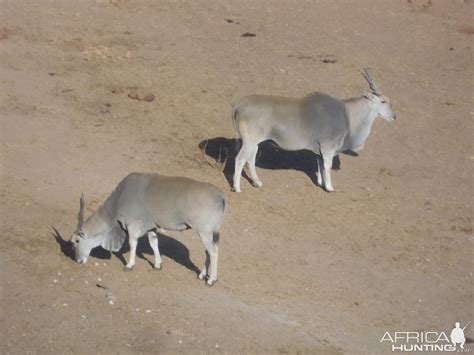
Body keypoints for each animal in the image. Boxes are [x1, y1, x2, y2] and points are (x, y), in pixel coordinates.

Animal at [69, 172, 227, 286]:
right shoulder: (152, 227)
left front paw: (129, 265)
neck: (120, 198)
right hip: (208, 233)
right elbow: (153, 243)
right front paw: (157, 265)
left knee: (213, 252)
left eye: (76, 241)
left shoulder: (132, 226)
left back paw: (211, 280)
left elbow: (133, 244)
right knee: (209, 251)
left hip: (204, 232)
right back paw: (201, 275)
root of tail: (221, 197)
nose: (77, 260)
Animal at [231, 68, 394, 193]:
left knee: (250, 160)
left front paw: (321, 183)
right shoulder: (328, 147)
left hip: (254, 143)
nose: (394, 116)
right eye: (383, 101)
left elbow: (320, 165)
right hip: (249, 142)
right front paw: (329, 187)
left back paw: (257, 182)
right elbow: (327, 165)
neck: (346, 114)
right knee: (240, 159)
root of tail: (238, 105)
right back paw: (237, 188)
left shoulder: (319, 150)